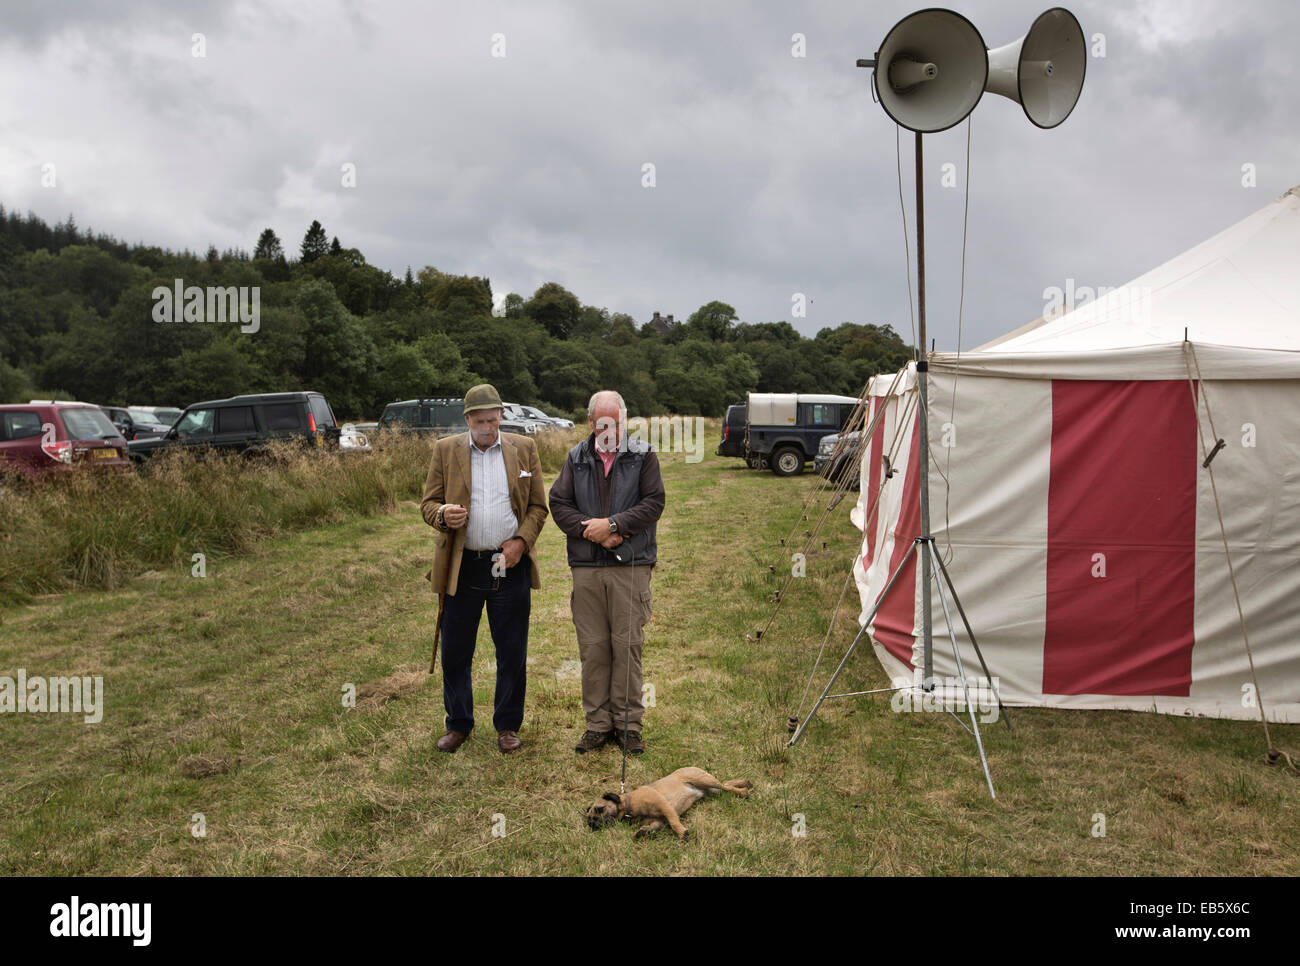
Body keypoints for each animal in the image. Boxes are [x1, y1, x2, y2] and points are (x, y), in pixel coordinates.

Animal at [587, 764, 759, 842]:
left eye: (600, 809)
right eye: (589, 819)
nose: (593, 824)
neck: (630, 805)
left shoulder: (665, 807)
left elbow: (674, 822)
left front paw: (682, 833)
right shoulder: (658, 821)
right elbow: (652, 827)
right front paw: (642, 832)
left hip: (705, 780)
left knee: (726, 786)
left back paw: (743, 791)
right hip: (711, 788)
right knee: (726, 784)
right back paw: (744, 784)